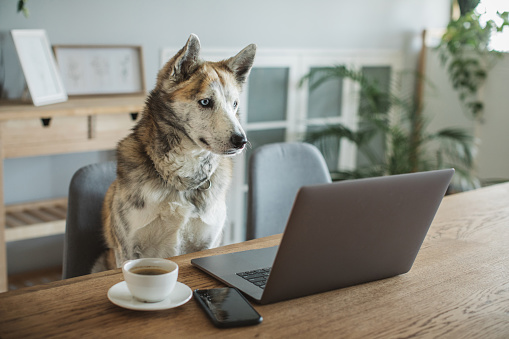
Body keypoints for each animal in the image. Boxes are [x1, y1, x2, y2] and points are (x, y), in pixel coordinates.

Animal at [91, 35, 256, 274]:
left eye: (234, 104)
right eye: (205, 102)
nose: (241, 140)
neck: (181, 179)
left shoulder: (209, 243)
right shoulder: (128, 251)